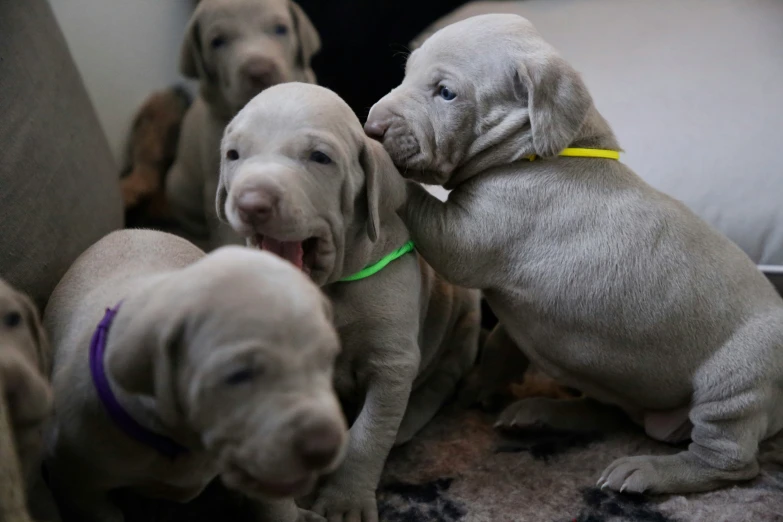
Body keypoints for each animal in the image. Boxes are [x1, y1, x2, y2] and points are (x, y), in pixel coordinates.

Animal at [217, 82, 480, 520]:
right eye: (234, 155)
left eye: (319, 158)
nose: (251, 203)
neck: (326, 288)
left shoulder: (393, 364)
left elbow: (369, 434)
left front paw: (345, 501)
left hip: (464, 322)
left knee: (445, 376)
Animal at [364, 12, 783, 492]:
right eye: (406, 73)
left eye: (446, 92)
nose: (371, 126)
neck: (543, 151)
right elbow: (501, 342)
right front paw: (478, 386)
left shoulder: (470, 234)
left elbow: (422, 207)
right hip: (620, 381)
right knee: (609, 412)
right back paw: (542, 414)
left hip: (736, 381)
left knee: (729, 461)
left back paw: (644, 471)